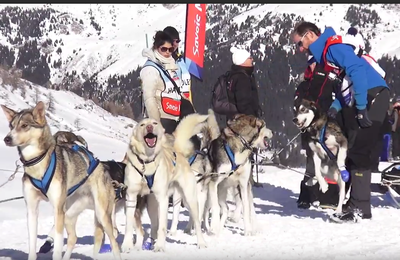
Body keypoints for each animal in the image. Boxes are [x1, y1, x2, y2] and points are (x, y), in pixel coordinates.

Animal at [0, 101, 121, 260]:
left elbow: (57, 245)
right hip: (68, 215)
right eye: (11, 126)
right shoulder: (32, 209)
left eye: (25, 125)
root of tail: (103, 167)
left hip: (101, 213)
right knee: (73, 238)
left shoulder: (57, 210)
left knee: (113, 240)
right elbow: (32, 242)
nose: (6, 138)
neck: (38, 164)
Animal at [122, 113, 209, 252]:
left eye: (155, 123)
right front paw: (126, 246)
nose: (149, 127)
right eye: (142, 124)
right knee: (154, 226)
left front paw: (160, 246)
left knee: (196, 222)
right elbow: (129, 225)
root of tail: (178, 151)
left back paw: (201, 243)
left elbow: (162, 227)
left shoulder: (163, 199)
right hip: (152, 204)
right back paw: (150, 242)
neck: (147, 163)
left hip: (189, 199)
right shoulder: (131, 197)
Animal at [167, 108, 220, 236]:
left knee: (204, 214)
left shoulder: (200, 196)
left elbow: (199, 215)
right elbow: (176, 215)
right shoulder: (178, 196)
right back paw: (188, 228)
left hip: (207, 197)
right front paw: (173, 232)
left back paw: (205, 228)